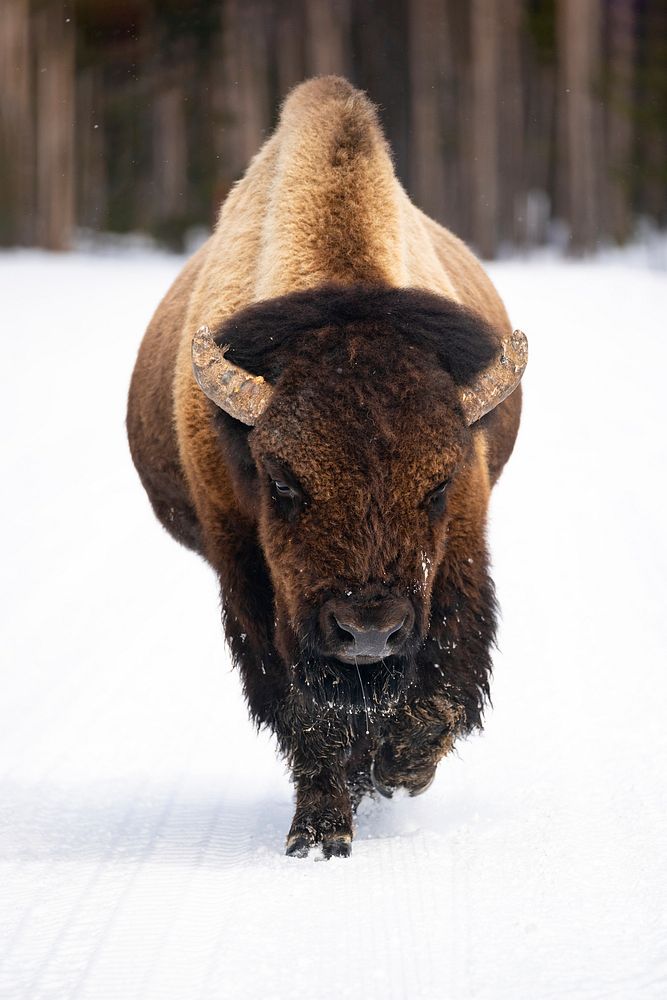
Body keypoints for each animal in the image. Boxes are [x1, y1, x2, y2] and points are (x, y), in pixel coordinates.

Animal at [128, 78, 528, 860]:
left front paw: (398, 771)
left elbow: (441, 686)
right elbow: (303, 710)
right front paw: (319, 836)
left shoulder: (460, 546)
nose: (367, 630)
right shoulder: (249, 572)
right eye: (282, 482)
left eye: (437, 484)